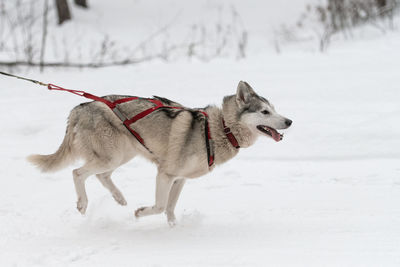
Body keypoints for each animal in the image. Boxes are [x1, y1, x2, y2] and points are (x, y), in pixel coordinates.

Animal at [27, 81, 290, 226]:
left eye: (274, 109)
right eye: (265, 112)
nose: (289, 121)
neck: (218, 129)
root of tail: (80, 107)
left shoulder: (179, 179)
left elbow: (170, 208)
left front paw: (173, 228)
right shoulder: (165, 174)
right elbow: (161, 206)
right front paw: (140, 213)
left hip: (123, 154)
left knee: (102, 175)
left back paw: (119, 198)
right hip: (112, 155)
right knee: (77, 173)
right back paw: (83, 204)